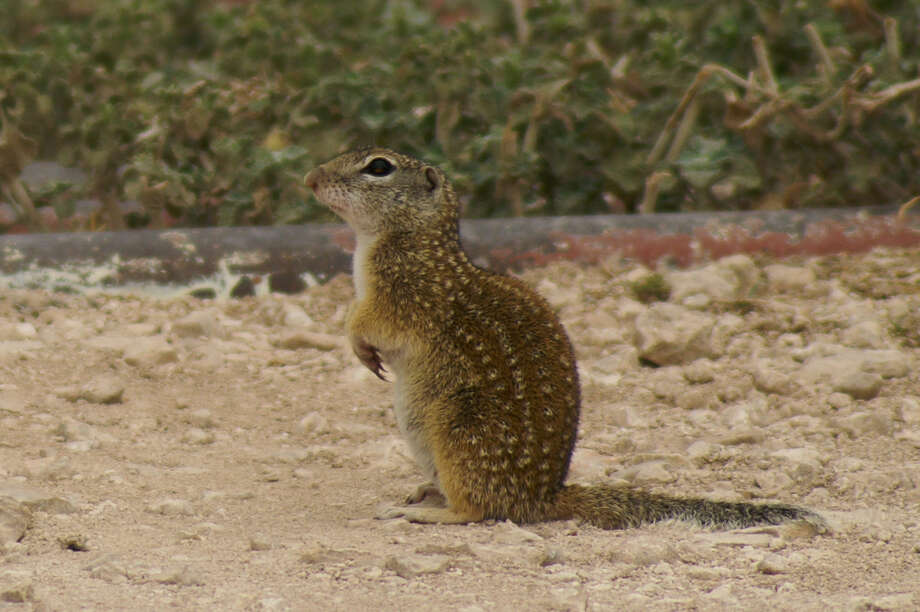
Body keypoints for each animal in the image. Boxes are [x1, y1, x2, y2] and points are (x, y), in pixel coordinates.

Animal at [304, 148, 828, 532]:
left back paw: (427, 511)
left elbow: (366, 321)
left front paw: (357, 345)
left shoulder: (404, 295)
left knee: (479, 509)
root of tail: (544, 497)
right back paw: (426, 492)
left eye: (379, 167)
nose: (310, 178)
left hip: (458, 427)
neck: (408, 238)